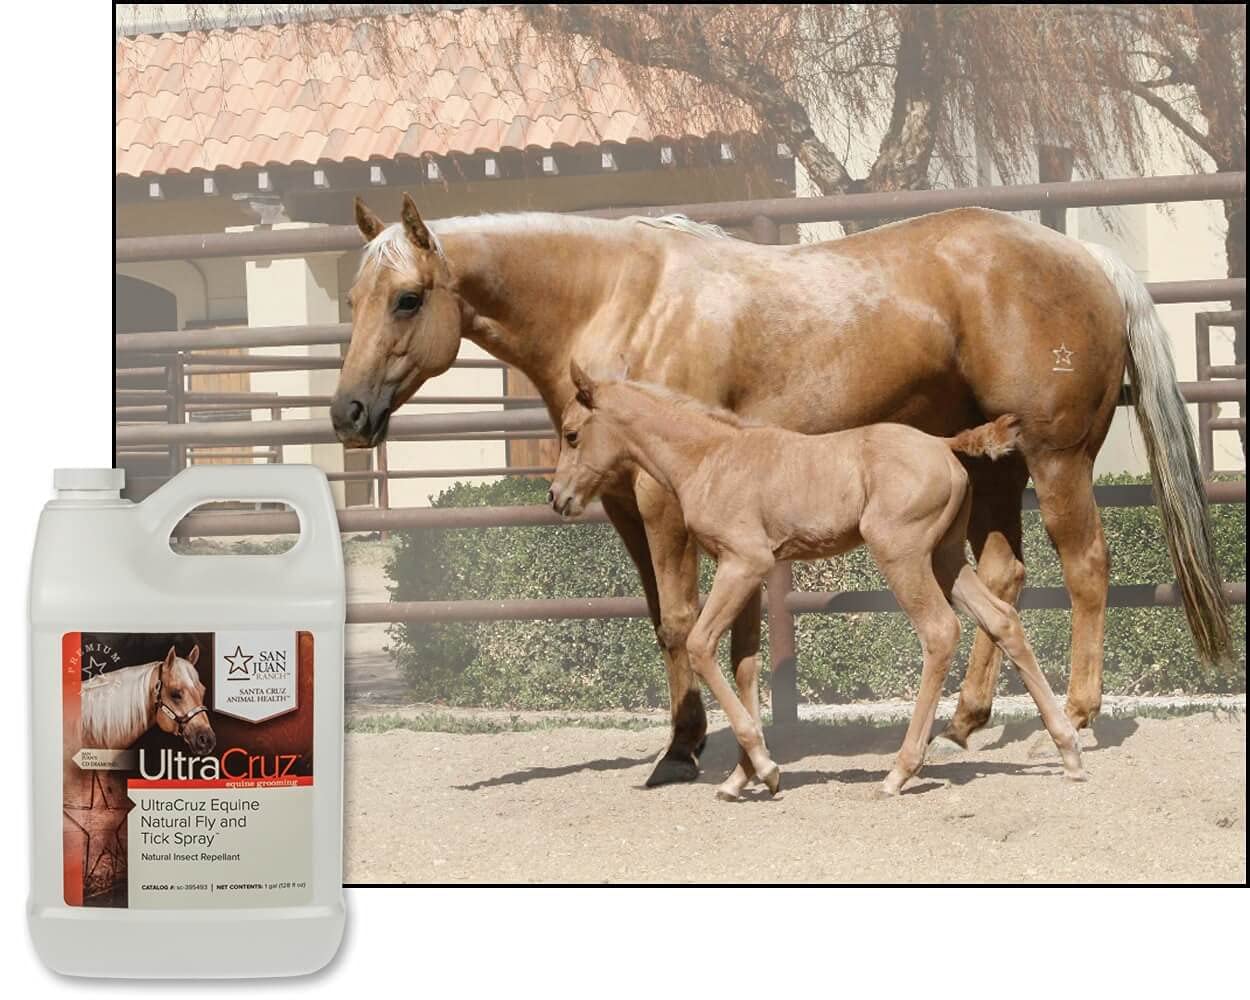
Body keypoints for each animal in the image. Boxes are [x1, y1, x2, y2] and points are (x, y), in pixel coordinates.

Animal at [550, 364, 1086, 798]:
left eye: (572, 434)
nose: (557, 497)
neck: (710, 457)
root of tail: (942, 443)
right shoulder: (747, 570)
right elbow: (745, 664)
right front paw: (742, 777)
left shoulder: (743, 563)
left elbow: (701, 646)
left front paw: (765, 769)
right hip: (946, 557)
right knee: (1003, 619)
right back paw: (1068, 751)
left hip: (903, 555)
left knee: (940, 632)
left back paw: (900, 771)